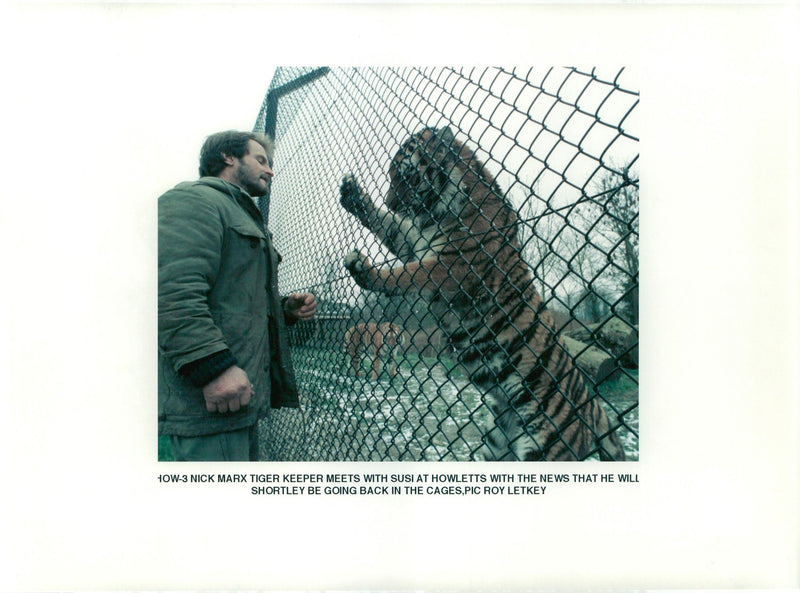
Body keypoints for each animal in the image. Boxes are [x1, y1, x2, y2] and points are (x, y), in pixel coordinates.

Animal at [338, 123, 624, 458]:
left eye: (407, 176)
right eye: (391, 175)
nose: (390, 202)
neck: (438, 210)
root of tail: (592, 404)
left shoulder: (454, 268)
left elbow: (407, 276)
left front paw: (366, 271)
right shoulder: (414, 242)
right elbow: (390, 226)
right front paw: (353, 195)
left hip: (546, 446)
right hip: (497, 442)